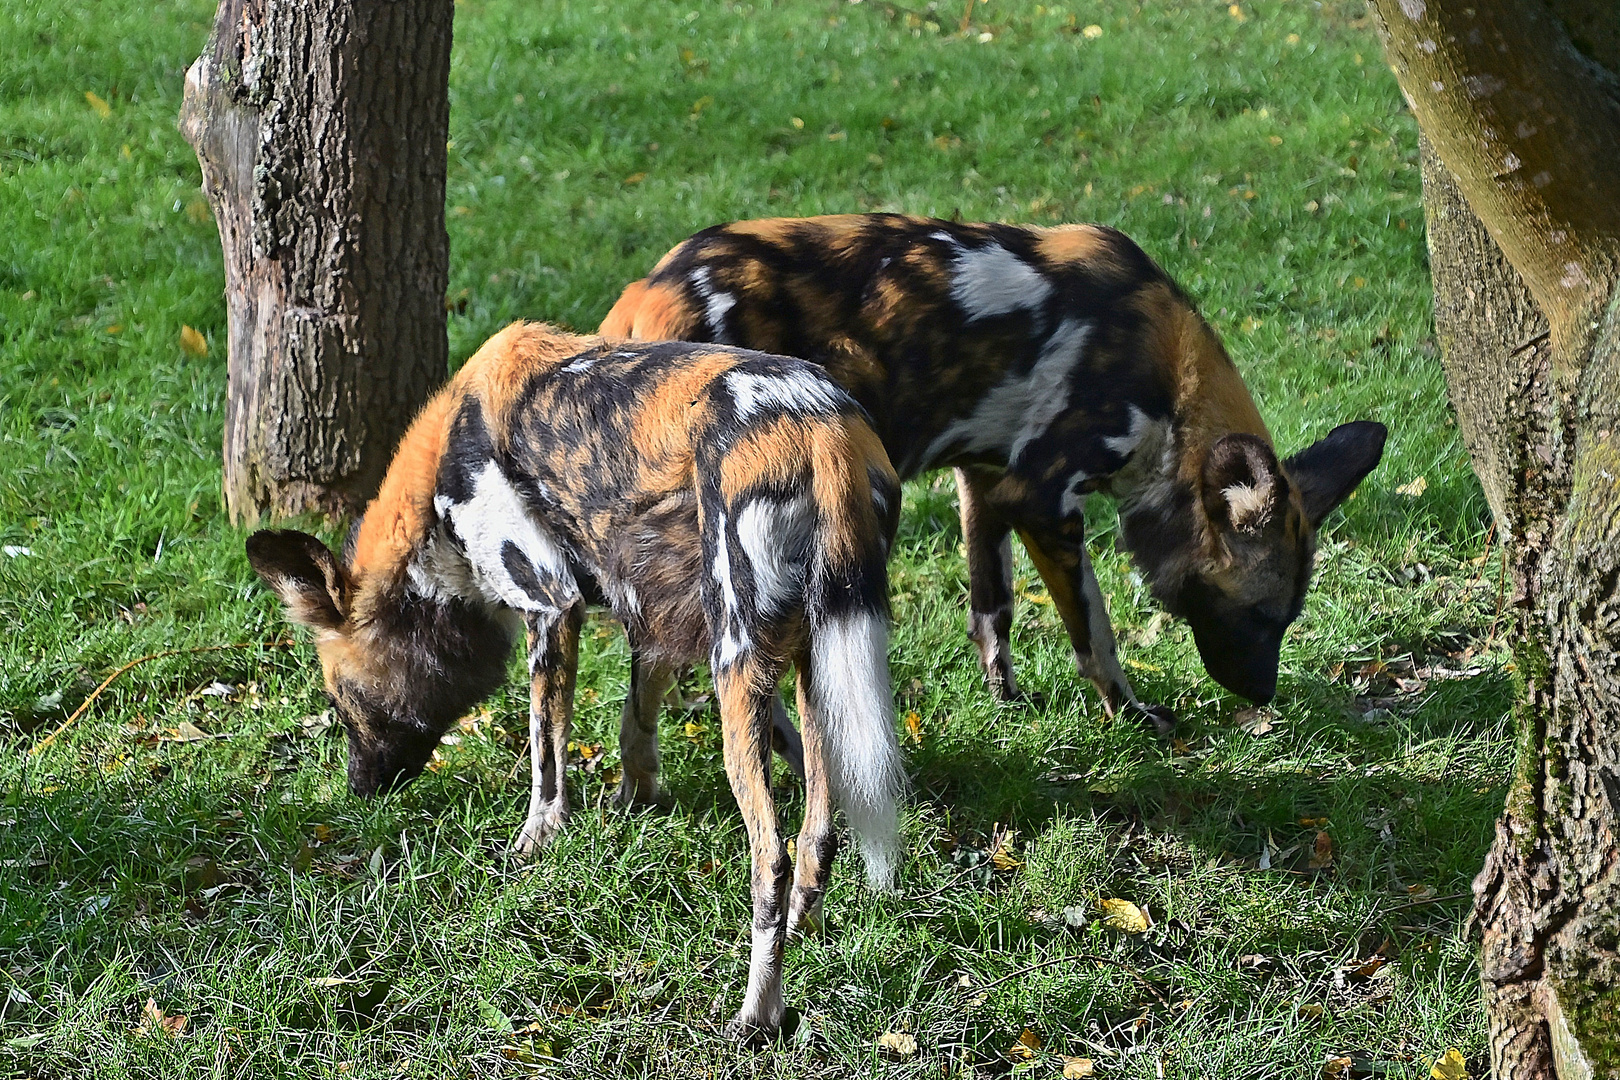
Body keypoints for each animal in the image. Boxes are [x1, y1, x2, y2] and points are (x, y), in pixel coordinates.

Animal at [241, 323, 907, 1036]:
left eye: (343, 703)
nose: (359, 789)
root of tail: (820, 427)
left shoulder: (551, 605)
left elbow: (545, 756)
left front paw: (534, 843)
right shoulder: (653, 611)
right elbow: (640, 724)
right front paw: (637, 802)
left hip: (736, 661)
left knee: (772, 859)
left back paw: (757, 1015)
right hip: (798, 655)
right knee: (817, 830)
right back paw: (806, 924)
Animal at [609, 213, 1393, 725]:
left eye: (1287, 620)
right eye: (1259, 615)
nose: (1262, 696)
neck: (1170, 386)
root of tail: (645, 294)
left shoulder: (986, 485)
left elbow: (994, 611)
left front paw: (1006, 701)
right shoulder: (1043, 501)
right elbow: (1095, 633)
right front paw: (1133, 716)